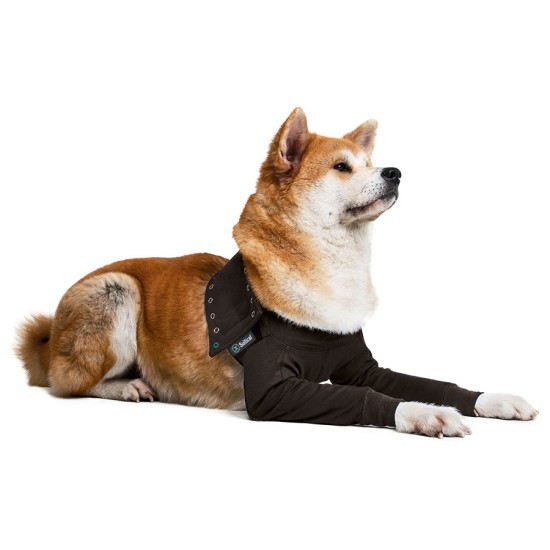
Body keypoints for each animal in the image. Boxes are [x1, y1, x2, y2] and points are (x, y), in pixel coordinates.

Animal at [16, 108, 538, 437]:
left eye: (369, 162)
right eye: (343, 167)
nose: (394, 172)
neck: (335, 276)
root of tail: (49, 335)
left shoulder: (364, 367)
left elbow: (428, 382)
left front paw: (492, 399)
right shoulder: (272, 393)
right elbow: (370, 399)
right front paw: (426, 416)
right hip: (115, 290)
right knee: (68, 384)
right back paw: (126, 386)